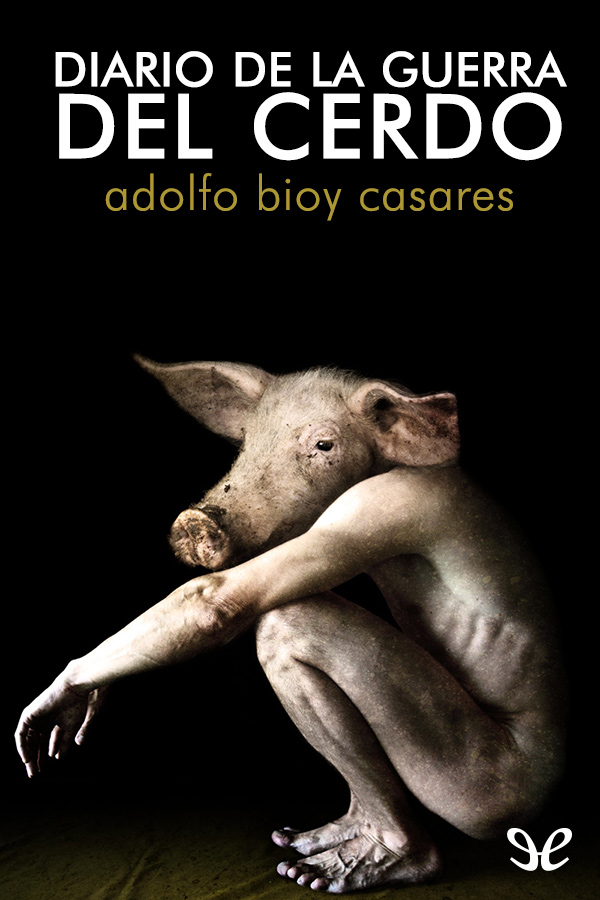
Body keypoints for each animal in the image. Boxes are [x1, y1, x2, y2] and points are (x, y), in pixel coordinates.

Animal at [16, 358, 567, 895]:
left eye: (323, 445)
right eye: (245, 443)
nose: (195, 520)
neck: (399, 466)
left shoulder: (381, 507)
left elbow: (220, 597)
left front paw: (44, 714)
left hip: (477, 786)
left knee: (287, 622)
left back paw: (344, 870)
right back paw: (298, 848)